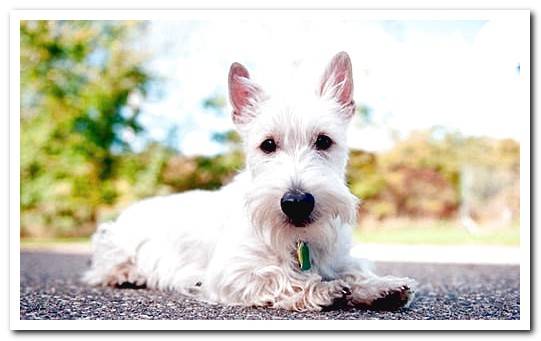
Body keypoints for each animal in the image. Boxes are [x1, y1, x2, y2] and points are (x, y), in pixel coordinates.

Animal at [82, 51, 416, 310]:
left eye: (324, 141)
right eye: (267, 145)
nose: (297, 202)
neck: (298, 241)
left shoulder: (338, 256)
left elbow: (354, 270)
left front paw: (380, 287)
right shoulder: (232, 272)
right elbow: (281, 277)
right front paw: (323, 289)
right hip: (113, 241)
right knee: (103, 266)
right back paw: (127, 274)